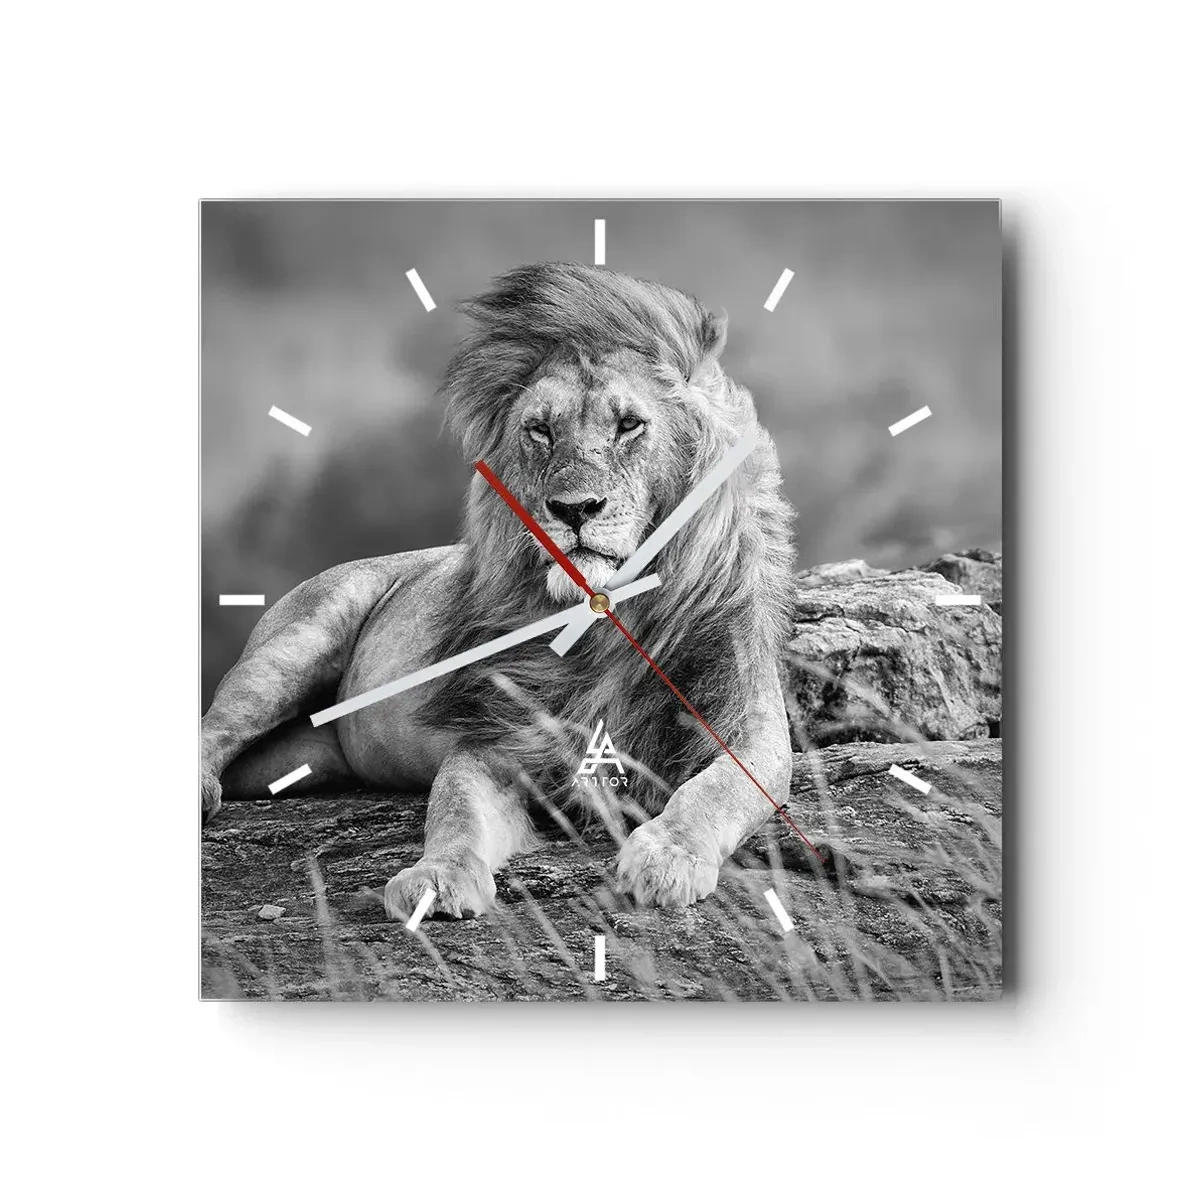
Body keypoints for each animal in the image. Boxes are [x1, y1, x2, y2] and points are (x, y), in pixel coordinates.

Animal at [200, 263, 796, 919]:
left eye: (628, 424)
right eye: (540, 431)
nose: (574, 508)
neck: (608, 617)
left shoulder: (749, 726)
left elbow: (717, 789)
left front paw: (667, 857)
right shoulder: (498, 740)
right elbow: (455, 809)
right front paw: (436, 876)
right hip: (294, 645)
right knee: (215, 724)